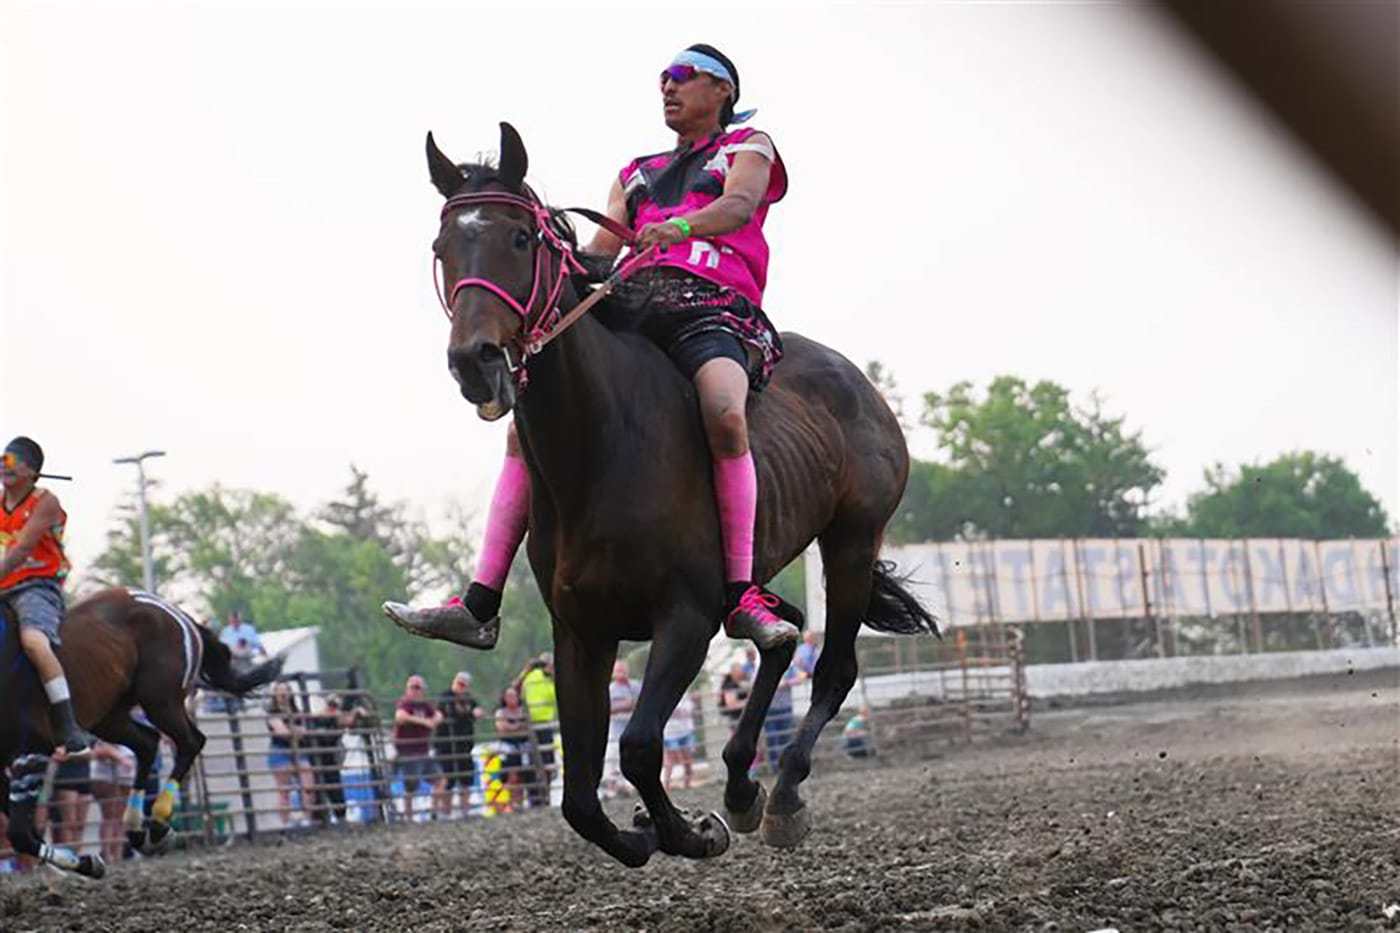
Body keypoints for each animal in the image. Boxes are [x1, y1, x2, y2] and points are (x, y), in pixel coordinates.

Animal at [1, 587, 281, 876]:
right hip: (111, 716)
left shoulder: (31, 751)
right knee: (148, 743)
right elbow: (24, 830)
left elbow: (20, 832)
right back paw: (137, 829)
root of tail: (178, 613)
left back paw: (157, 821)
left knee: (190, 741)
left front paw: (85, 863)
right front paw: (82, 862)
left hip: (160, 701)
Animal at [420, 122, 936, 868]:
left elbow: (636, 747)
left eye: (519, 238)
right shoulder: (581, 632)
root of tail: (859, 384)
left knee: (833, 667)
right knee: (780, 631)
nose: (475, 360)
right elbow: (580, 795)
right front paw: (643, 832)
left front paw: (688, 831)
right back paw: (743, 782)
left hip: (851, 542)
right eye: (443, 247)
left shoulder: (686, 617)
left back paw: (781, 796)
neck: (601, 449)